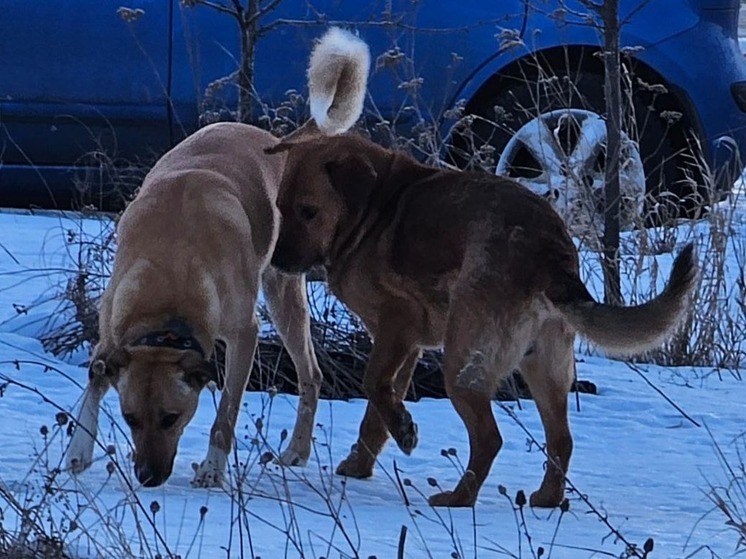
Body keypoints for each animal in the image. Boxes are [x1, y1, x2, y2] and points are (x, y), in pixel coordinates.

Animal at [64, 28, 370, 488]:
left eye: (171, 418)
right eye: (130, 418)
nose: (147, 477)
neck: (168, 281)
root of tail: (276, 142)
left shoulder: (244, 335)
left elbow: (226, 410)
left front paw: (212, 467)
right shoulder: (111, 328)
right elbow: (95, 381)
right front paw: (78, 449)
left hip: (283, 296)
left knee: (311, 375)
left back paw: (296, 451)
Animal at [268, 106, 696, 508]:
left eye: (308, 211)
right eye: (280, 208)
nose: (275, 261)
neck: (372, 209)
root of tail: (548, 255)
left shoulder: (397, 326)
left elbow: (374, 385)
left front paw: (401, 432)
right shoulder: (406, 347)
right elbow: (376, 413)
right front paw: (361, 464)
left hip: (462, 361)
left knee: (490, 438)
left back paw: (459, 498)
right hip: (544, 367)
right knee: (562, 439)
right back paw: (547, 498)